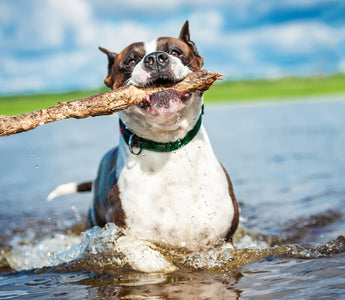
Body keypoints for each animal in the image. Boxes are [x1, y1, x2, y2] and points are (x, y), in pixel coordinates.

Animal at [47, 21, 236, 274]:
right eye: (130, 61)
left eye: (175, 52)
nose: (155, 58)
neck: (169, 147)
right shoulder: (119, 236)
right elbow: (142, 254)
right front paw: (161, 264)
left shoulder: (224, 241)